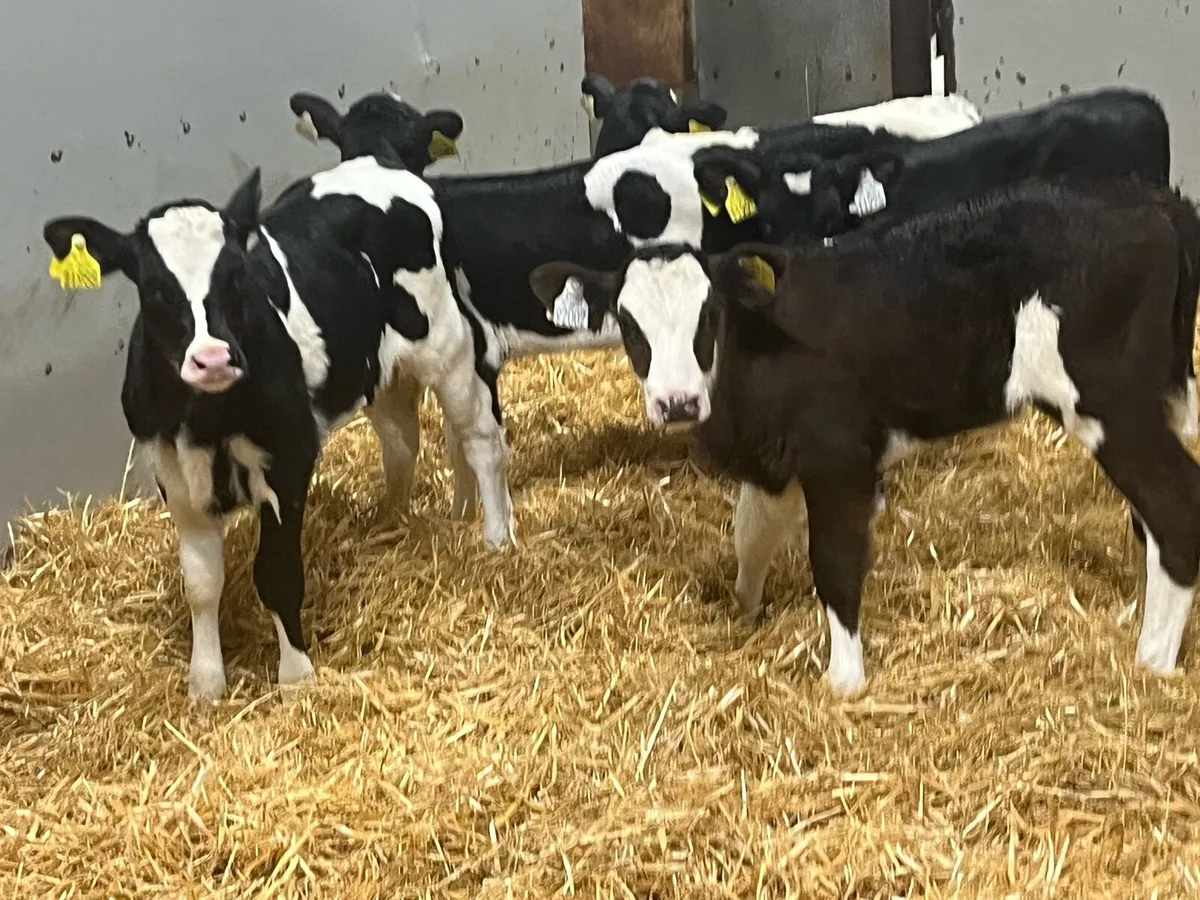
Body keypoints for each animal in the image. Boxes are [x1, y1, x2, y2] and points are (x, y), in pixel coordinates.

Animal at [41, 114, 511, 701]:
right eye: (154, 288)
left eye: (237, 276)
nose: (213, 358)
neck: (209, 420)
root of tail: (383, 165)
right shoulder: (173, 472)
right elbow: (201, 584)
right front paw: (205, 683)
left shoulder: (290, 455)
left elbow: (277, 571)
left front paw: (296, 675)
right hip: (376, 369)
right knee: (405, 439)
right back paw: (394, 520)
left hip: (448, 344)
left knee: (478, 438)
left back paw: (495, 537)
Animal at [527, 177, 1200, 696]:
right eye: (628, 323)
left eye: (707, 315)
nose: (676, 402)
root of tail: (1151, 200)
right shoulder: (774, 461)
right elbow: (751, 538)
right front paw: (745, 616)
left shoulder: (839, 456)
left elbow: (835, 560)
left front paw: (844, 680)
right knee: (1148, 518)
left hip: (1112, 406)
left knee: (1173, 505)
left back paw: (1151, 661)